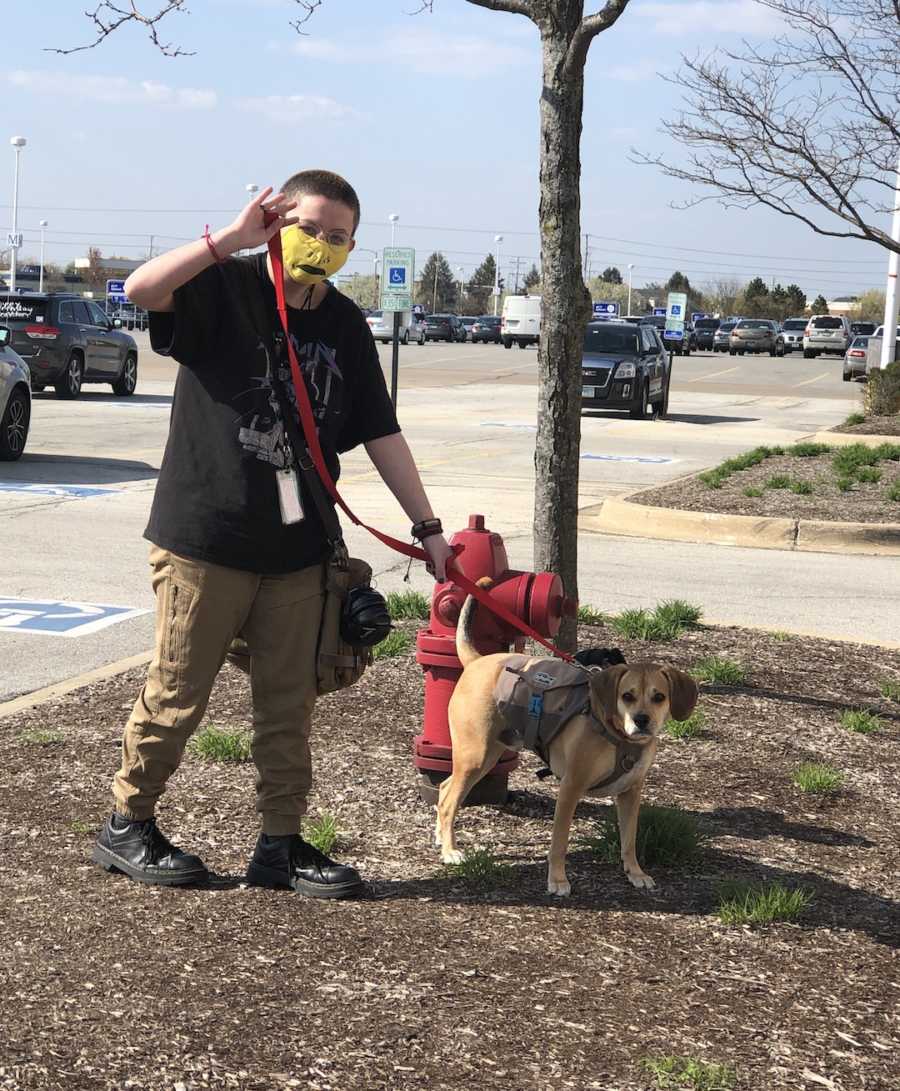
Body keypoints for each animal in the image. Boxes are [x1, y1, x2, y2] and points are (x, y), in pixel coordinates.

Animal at [434, 584, 693, 898]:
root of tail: (477, 661)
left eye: (659, 697)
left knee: (444, 789)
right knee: (449, 800)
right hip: (476, 756)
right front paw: (558, 880)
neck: (617, 735)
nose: (642, 720)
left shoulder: (631, 792)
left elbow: (629, 839)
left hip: (487, 755)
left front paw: (635, 873)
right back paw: (450, 851)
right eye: (627, 696)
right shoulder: (571, 787)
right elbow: (559, 842)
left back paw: (440, 837)